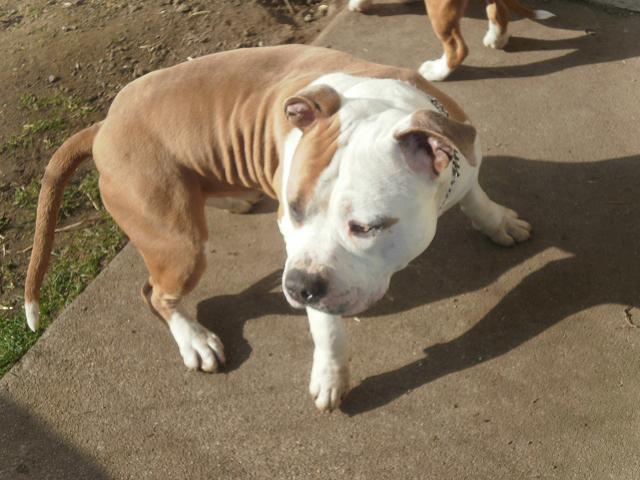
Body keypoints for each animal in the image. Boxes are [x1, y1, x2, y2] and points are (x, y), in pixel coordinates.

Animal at [24, 45, 531, 412]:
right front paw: (330, 375)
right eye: (294, 210)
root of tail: (102, 126)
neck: (381, 107)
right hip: (179, 243)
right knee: (156, 294)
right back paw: (195, 340)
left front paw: (497, 221)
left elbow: (476, 195)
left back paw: (233, 197)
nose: (298, 287)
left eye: (365, 227)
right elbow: (327, 327)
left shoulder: (464, 165)